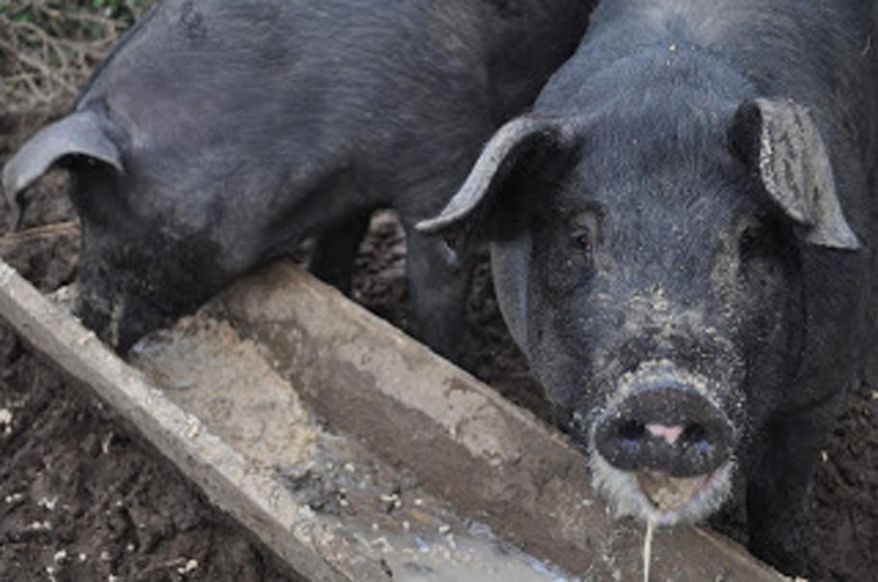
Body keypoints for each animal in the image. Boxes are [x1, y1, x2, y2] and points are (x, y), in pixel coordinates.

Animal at [2, 0, 595, 355]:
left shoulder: (447, 148)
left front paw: (456, 359)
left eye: (95, 208)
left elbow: (433, 286)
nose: (86, 319)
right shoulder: (351, 185)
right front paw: (339, 291)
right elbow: (334, 252)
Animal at [418, 0, 878, 573]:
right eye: (580, 238)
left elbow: (780, 503)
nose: (666, 392)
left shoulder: (817, 395)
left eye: (750, 238)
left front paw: (787, 568)